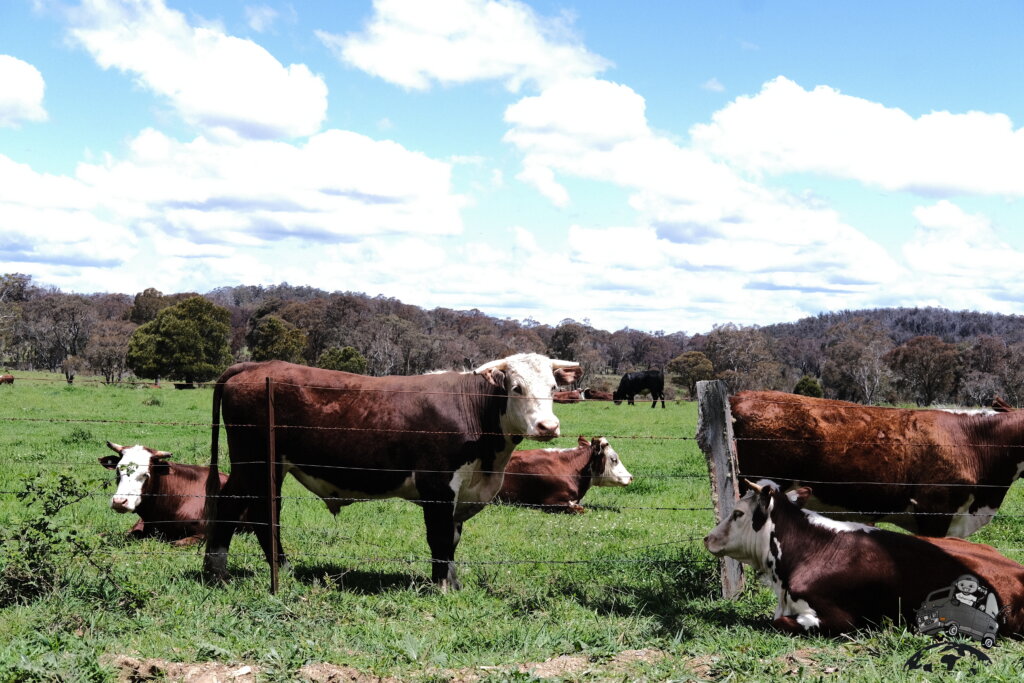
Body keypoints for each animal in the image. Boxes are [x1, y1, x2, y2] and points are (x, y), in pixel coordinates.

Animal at [201, 352, 585, 589]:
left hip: (272, 466)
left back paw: (282, 567)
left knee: (267, 514)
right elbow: (439, 537)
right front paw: (442, 586)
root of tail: (255, 365)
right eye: (516, 388)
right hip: (250, 462)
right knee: (231, 505)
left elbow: (453, 538)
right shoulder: (437, 487)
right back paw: (216, 574)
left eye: (554, 388)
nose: (548, 426)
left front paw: (454, 583)